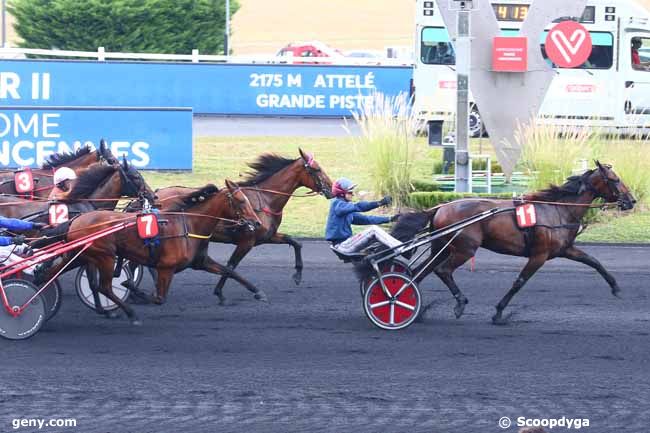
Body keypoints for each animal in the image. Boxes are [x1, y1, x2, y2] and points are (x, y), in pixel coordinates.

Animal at [60, 180, 260, 324]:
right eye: (241, 201)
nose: (257, 223)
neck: (190, 225)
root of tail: (77, 220)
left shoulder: (200, 262)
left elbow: (229, 271)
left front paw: (256, 292)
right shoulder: (166, 268)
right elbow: (158, 298)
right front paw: (132, 288)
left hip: (91, 256)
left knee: (92, 282)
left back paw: (106, 310)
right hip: (105, 257)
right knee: (104, 287)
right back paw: (131, 314)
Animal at [151, 148, 330, 304]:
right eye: (317, 169)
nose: (330, 188)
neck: (265, 200)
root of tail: (157, 193)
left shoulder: (266, 236)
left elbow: (294, 242)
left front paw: (297, 275)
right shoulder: (247, 241)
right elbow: (231, 265)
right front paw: (221, 292)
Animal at [380, 162, 632, 324]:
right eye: (615, 180)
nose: (631, 200)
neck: (557, 210)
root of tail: (440, 207)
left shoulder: (565, 249)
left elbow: (594, 261)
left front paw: (616, 288)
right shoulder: (539, 255)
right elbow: (519, 282)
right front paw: (499, 312)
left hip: (442, 247)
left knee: (420, 271)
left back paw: (409, 304)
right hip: (464, 248)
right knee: (442, 271)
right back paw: (457, 303)